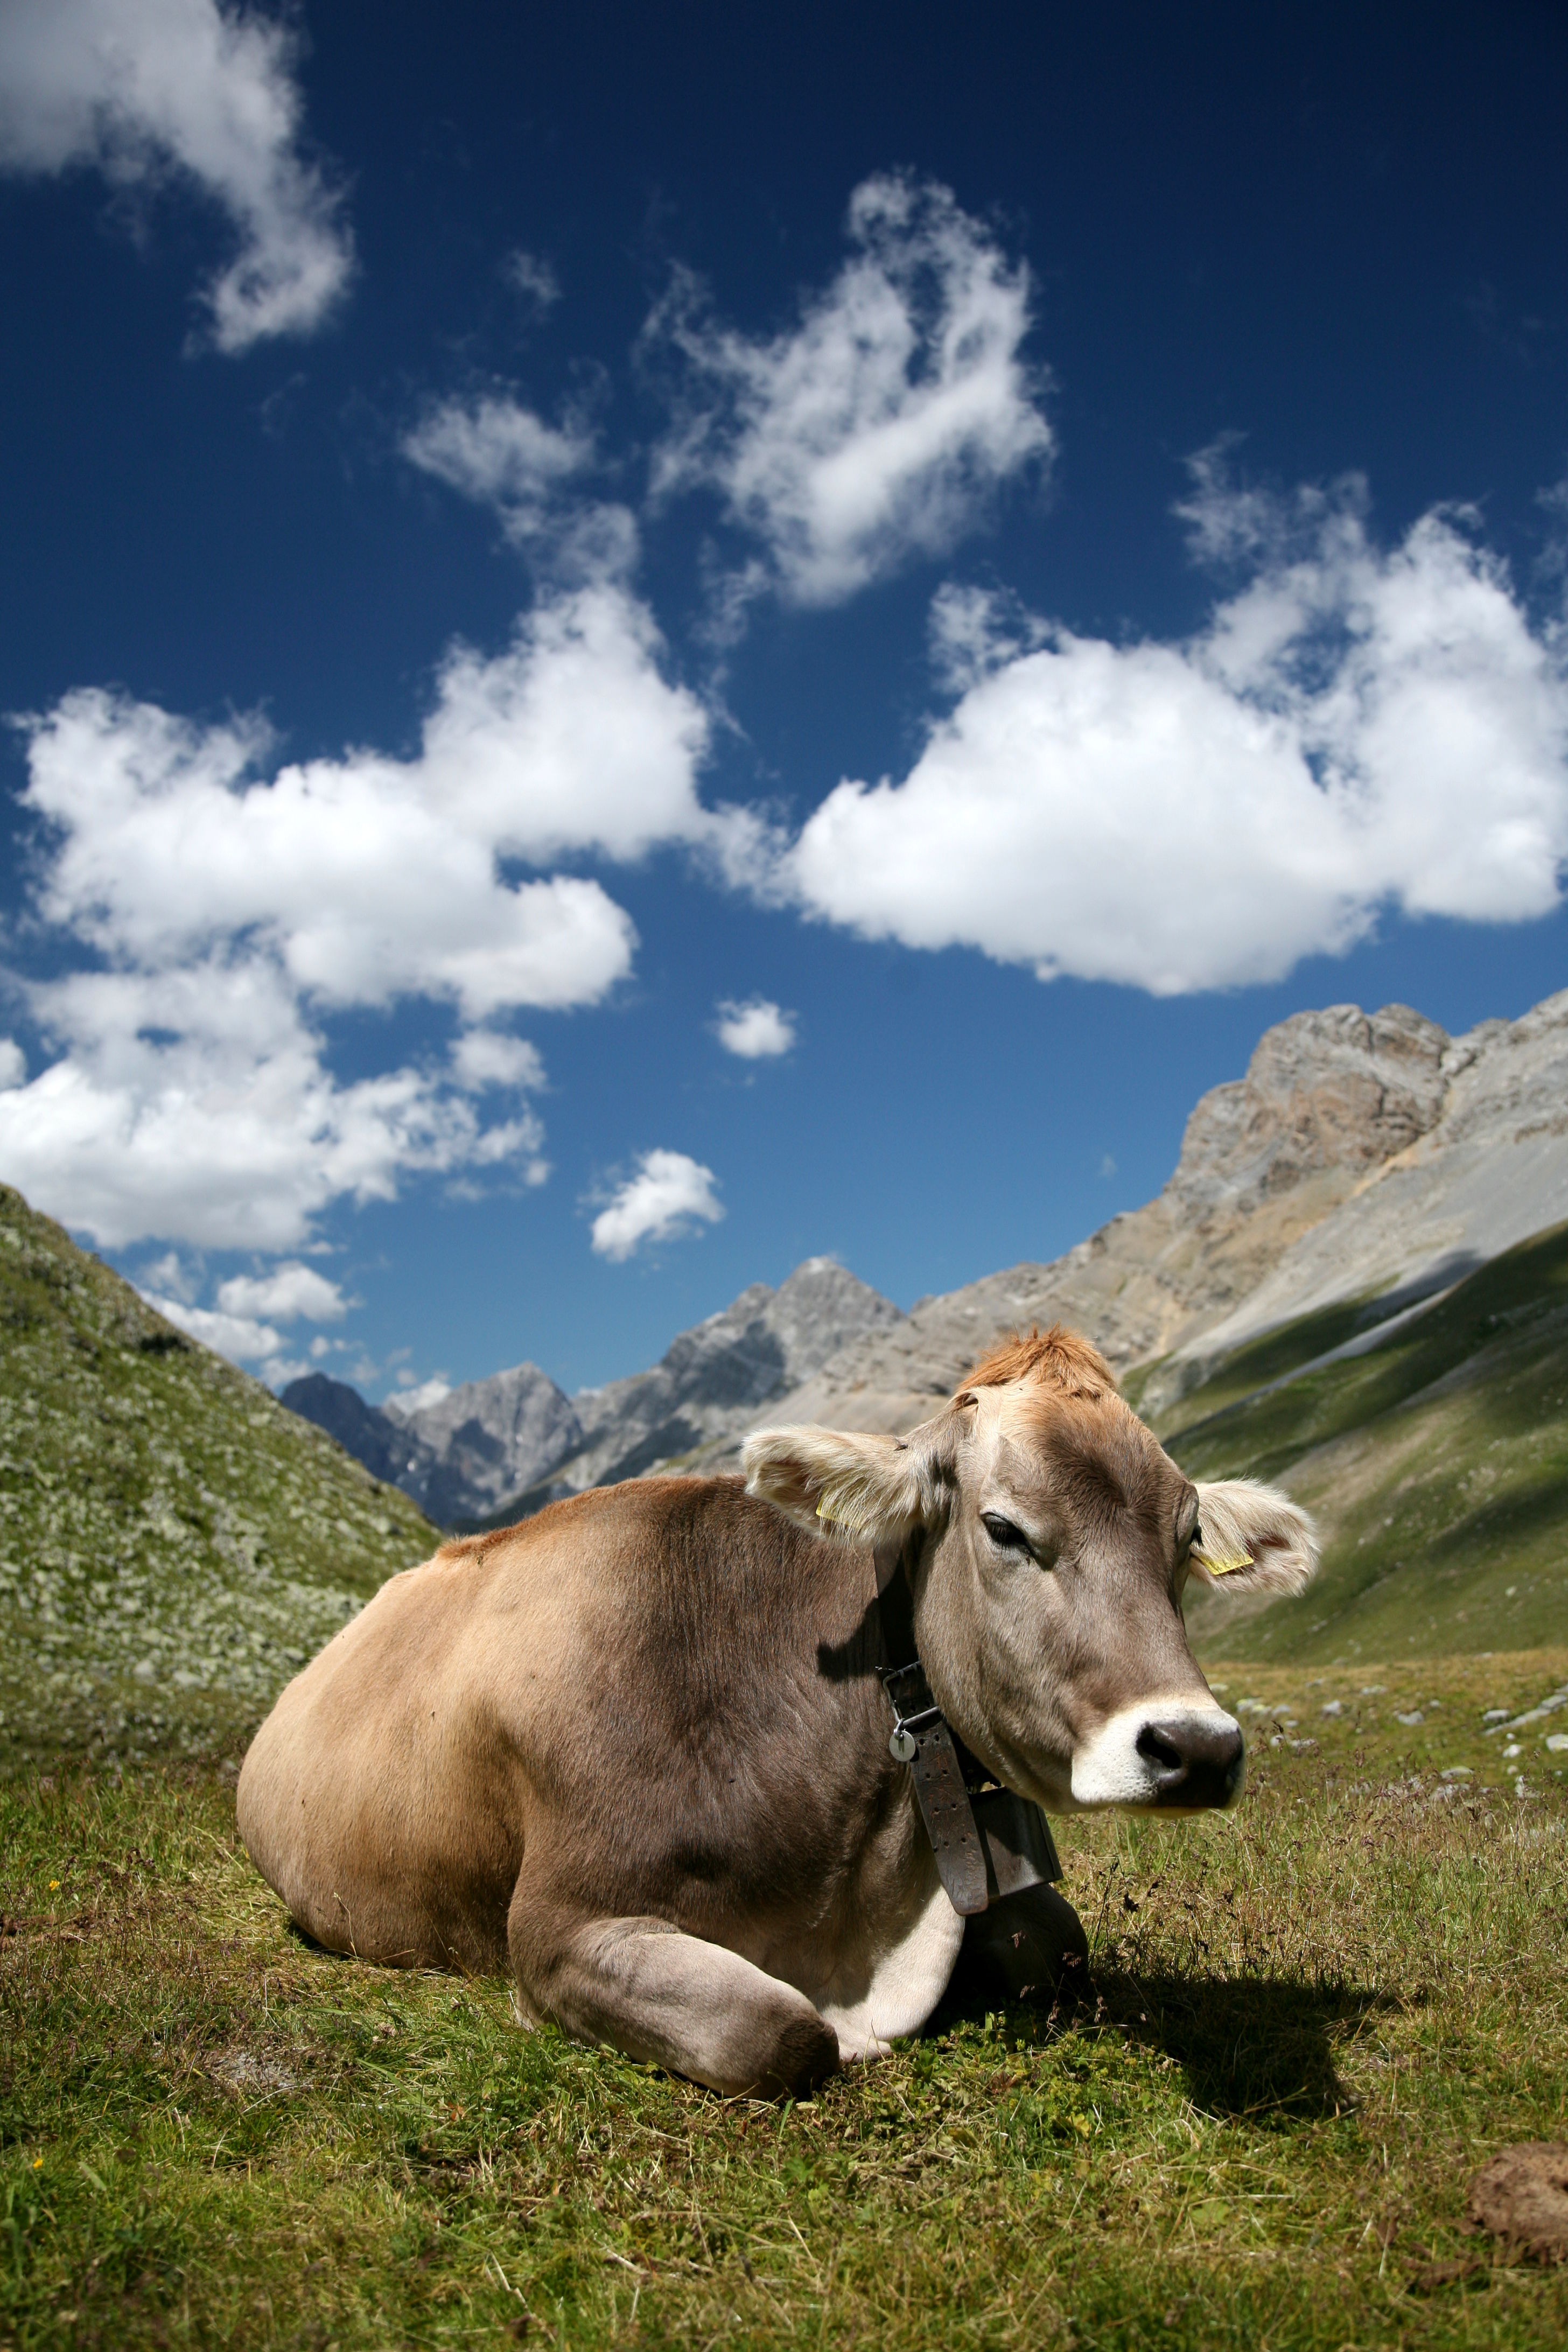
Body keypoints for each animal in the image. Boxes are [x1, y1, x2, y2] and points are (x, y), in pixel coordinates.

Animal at [236, 1326, 1316, 2098]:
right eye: (1004, 1527)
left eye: (1186, 1538)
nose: (1195, 1748)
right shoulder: (558, 1928)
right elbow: (781, 2033)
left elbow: (1060, 1946)